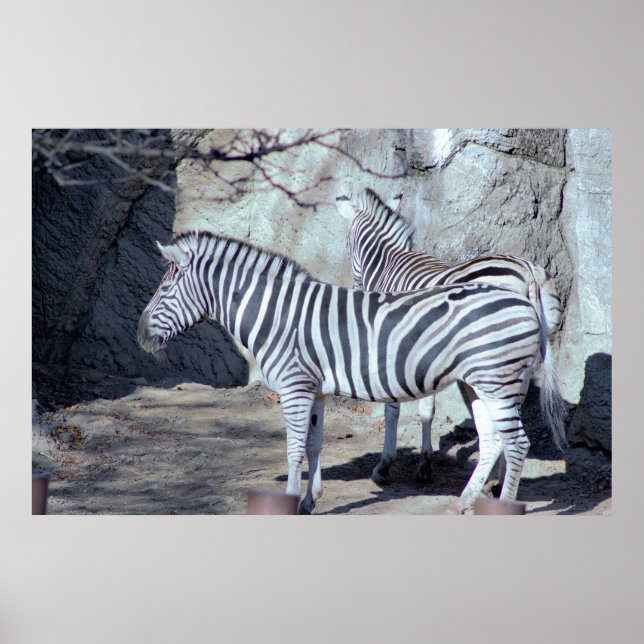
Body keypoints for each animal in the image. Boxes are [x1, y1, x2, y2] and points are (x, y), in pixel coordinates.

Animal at [137, 230, 566, 514]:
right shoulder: (315, 391)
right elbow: (313, 445)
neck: (278, 316)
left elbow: (293, 448)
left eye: (165, 288)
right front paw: (310, 500)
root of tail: (524, 290)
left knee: (516, 443)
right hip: (482, 383)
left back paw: (501, 505)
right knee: (493, 440)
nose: (140, 336)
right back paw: (464, 501)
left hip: (497, 380)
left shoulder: (294, 387)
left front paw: (290, 501)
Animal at [336, 187, 564, 485]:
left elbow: (394, 408)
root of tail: (529, 272)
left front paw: (386, 465)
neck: (388, 265)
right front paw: (424, 462)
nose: (358, 288)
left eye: (348, 246)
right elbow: (426, 407)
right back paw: (496, 480)